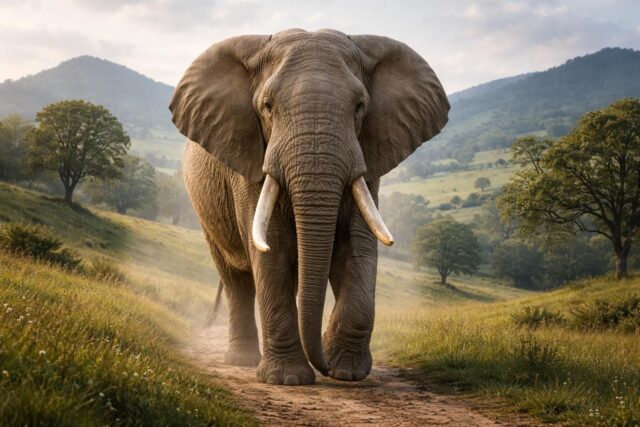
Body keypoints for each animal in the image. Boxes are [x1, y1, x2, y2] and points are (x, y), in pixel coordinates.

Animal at [170, 28, 449, 385]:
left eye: (360, 107)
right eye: (268, 107)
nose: (324, 367)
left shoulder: (367, 157)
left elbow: (357, 247)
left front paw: (347, 372)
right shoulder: (249, 161)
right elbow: (271, 250)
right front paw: (287, 379)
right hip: (206, 211)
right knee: (236, 280)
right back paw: (242, 361)